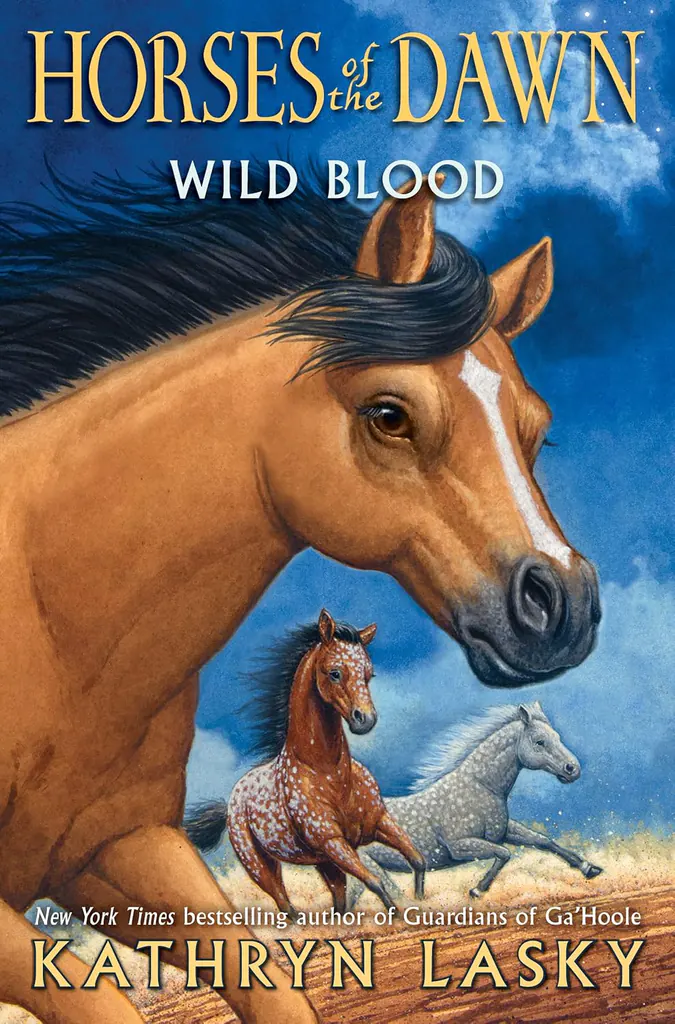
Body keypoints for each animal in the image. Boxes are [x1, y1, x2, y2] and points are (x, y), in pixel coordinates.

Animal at [185, 609, 425, 917]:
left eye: (368, 674)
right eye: (335, 673)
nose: (365, 719)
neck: (331, 773)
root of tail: (232, 800)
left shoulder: (378, 822)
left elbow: (416, 858)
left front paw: (419, 897)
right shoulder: (333, 842)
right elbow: (376, 883)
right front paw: (398, 913)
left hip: (323, 863)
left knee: (338, 899)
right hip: (260, 866)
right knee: (284, 902)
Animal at [350, 702, 602, 906]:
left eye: (557, 736)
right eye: (539, 742)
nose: (572, 769)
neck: (480, 786)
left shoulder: (503, 831)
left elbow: (543, 840)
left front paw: (589, 868)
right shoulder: (460, 846)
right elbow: (504, 854)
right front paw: (477, 890)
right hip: (369, 868)